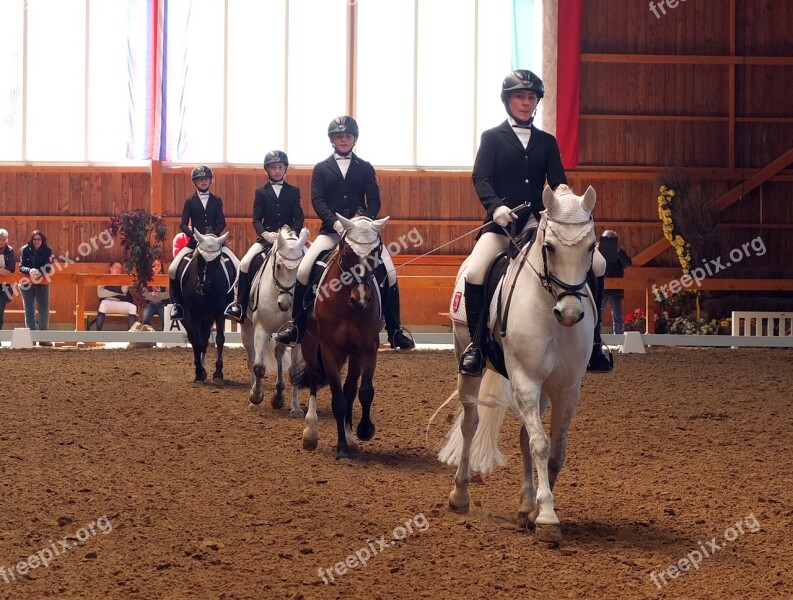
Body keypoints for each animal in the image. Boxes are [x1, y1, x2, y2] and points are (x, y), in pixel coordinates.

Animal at [181, 232, 237, 382]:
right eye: (199, 258)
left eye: (217, 260)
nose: (202, 288)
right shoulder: (194, 313)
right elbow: (197, 342)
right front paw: (199, 372)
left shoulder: (219, 313)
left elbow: (219, 339)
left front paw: (218, 372)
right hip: (187, 317)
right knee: (194, 339)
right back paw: (199, 369)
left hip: (208, 318)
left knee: (205, 338)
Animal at [240, 226, 308, 418]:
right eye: (278, 266)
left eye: (301, 269)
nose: (285, 304)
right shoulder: (261, 329)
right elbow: (259, 367)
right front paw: (256, 397)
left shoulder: (296, 334)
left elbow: (295, 371)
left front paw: (295, 407)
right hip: (247, 329)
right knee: (252, 359)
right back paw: (253, 396)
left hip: (283, 334)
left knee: (278, 354)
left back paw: (278, 396)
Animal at [292, 213, 388, 462]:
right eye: (347, 252)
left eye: (376, 251)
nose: (360, 298)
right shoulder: (329, 350)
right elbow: (338, 400)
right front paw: (342, 449)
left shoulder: (365, 347)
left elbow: (361, 391)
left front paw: (362, 432)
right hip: (309, 343)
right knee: (314, 377)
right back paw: (310, 433)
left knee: (350, 389)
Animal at [436, 184, 596, 544]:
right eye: (549, 247)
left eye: (592, 247)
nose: (570, 314)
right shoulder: (525, 378)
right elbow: (540, 444)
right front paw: (547, 517)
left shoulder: (566, 389)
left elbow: (554, 450)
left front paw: (535, 510)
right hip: (466, 360)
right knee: (470, 423)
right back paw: (459, 495)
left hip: (544, 391)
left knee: (524, 433)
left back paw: (525, 505)